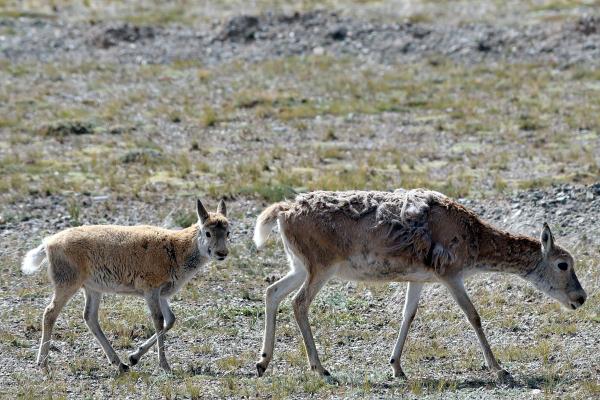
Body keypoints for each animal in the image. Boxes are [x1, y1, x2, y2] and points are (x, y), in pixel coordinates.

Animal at [253, 189, 584, 382]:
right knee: (298, 302)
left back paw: (262, 362)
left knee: (272, 292)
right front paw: (500, 369)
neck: (474, 240)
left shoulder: (418, 278)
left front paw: (396, 366)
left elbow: (408, 315)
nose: (581, 297)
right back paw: (320, 368)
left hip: (299, 265)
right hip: (321, 266)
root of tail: (282, 211)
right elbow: (473, 315)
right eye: (563, 264)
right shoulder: (450, 273)